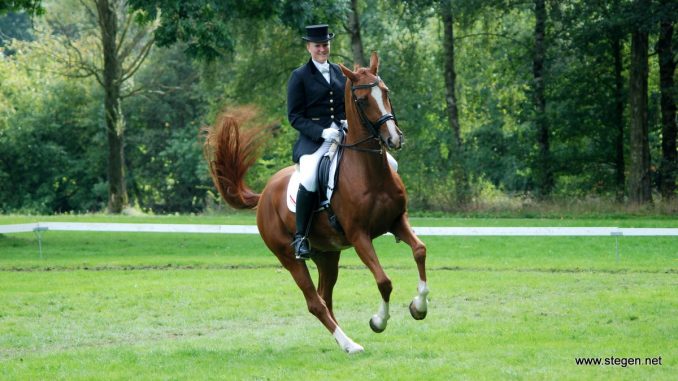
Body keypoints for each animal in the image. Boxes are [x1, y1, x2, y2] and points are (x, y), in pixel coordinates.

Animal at [205, 52, 432, 352]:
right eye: (362, 100)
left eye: (385, 91)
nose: (394, 138)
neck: (369, 171)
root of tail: (264, 195)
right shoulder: (359, 236)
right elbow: (384, 281)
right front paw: (378, 321)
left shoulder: (396, 221)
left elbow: (419, 250)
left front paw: (419, 307)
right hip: (289, 257)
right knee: (315, 302)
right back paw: (350, 345)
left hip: (327, 254)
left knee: (325, 296)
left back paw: (345, 341)